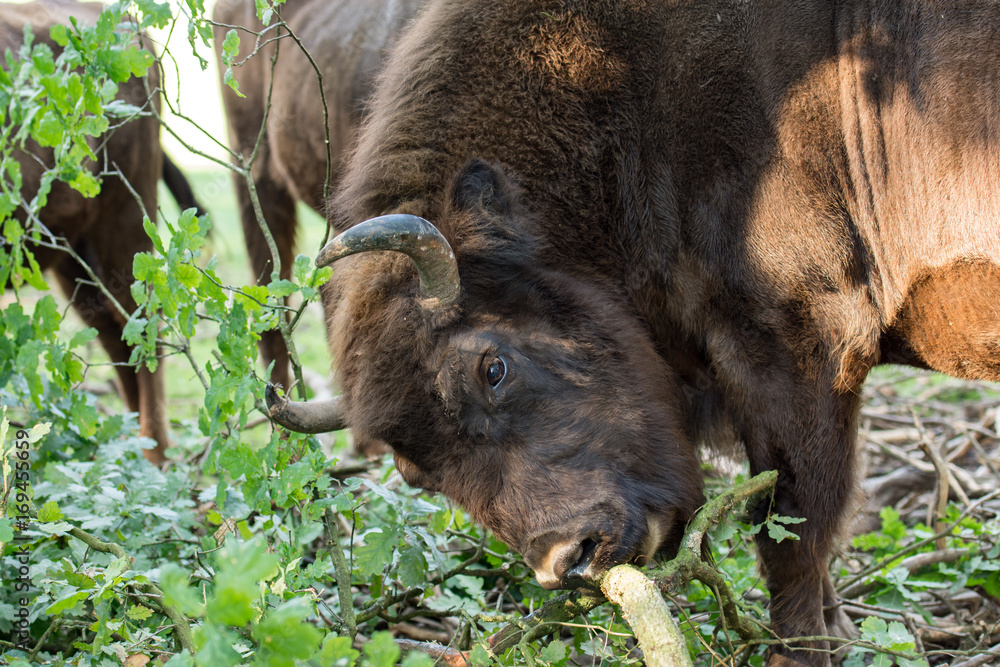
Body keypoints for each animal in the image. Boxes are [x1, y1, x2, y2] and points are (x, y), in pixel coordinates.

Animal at [268, 1, 1000, 664]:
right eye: (418, 474)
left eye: (492, 368)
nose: (569, 559)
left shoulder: (796, 353)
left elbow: (792, 537)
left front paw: (799, 650)